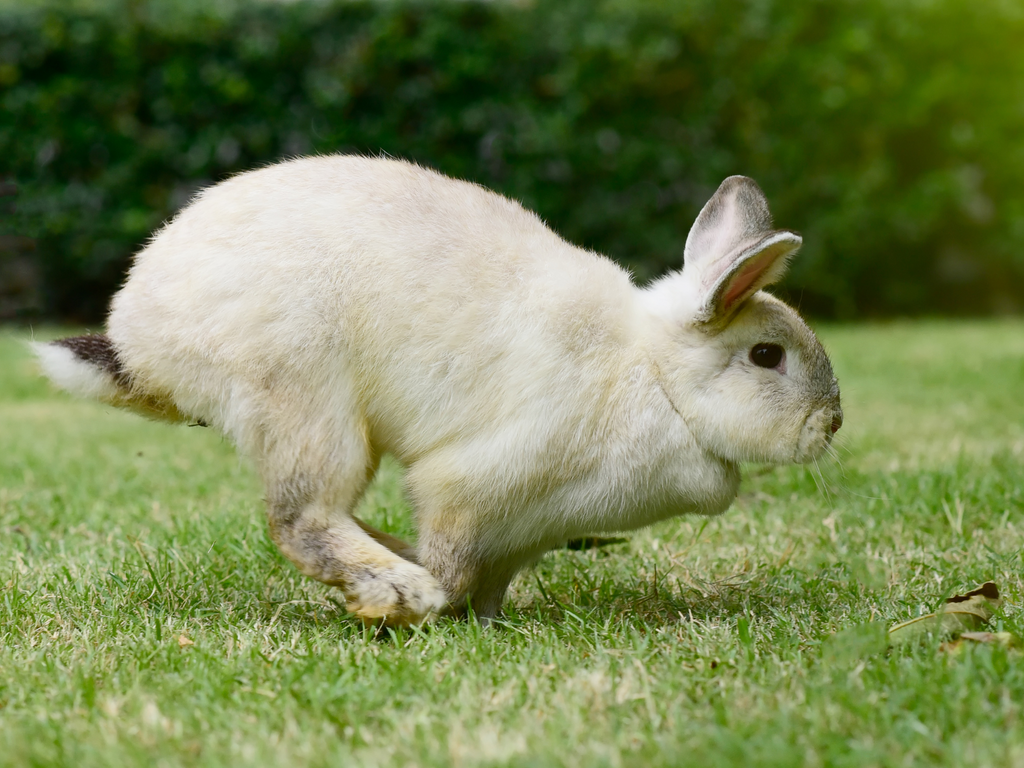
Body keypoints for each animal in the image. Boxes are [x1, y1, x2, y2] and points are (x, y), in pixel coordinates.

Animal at [36, 154, 843, 626]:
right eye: (766, 355)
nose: (830, 423)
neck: (654, 376)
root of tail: (141, 338)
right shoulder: (469, 490)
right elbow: (452, 562)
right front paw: (428, 594)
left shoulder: (524, 532)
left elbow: (491, 585)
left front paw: (489, 621)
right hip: (309, 403)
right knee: (301, 518)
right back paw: (396, 590)